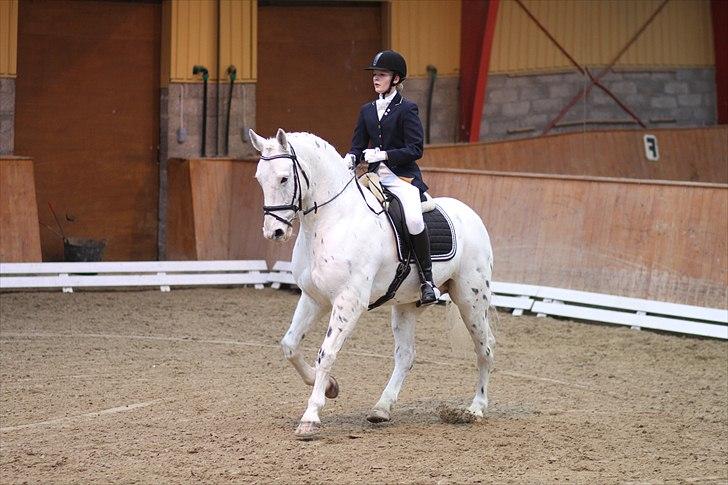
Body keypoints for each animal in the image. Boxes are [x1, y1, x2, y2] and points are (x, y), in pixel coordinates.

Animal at [250, 129, 494, 438]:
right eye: (259, 178)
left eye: (283, 178)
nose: (275, 232)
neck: (332, 220)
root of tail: (472, 215)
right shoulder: (313, 297)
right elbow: (290, 345)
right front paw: (330, 387)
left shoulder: (349, 301)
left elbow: (326, 353)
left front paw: (311, 416)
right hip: (407, 305)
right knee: (406, 355)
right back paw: (382, 408)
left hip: (471, 299)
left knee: (484, 349)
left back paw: (476, 408)